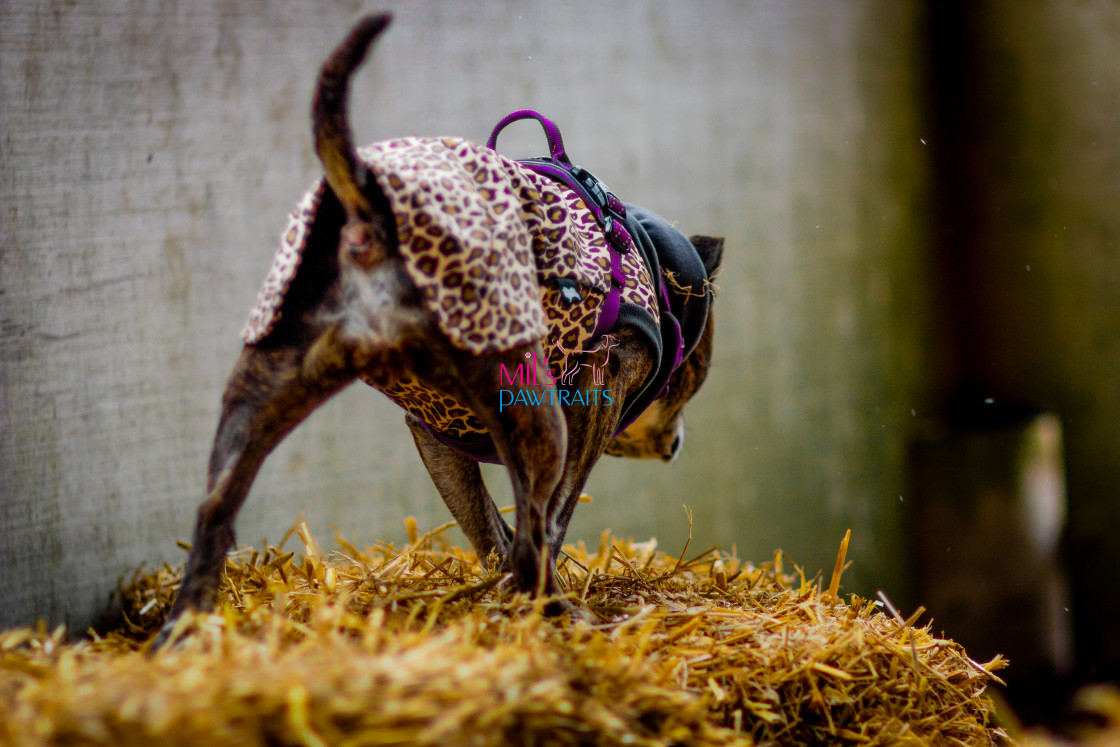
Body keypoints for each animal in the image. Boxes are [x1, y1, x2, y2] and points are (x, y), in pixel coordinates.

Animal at [151, 11, 725, 649]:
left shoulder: (435, 434)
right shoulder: (591, 399)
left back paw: (183, 630)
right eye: (693, 380)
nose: (676, 443)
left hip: (263, 393)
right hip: (535, 413)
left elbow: (489, 528)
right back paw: (566, 618)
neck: (650, 255)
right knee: (534, 536)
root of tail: (368, 217)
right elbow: (546, 524)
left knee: (214, 509)